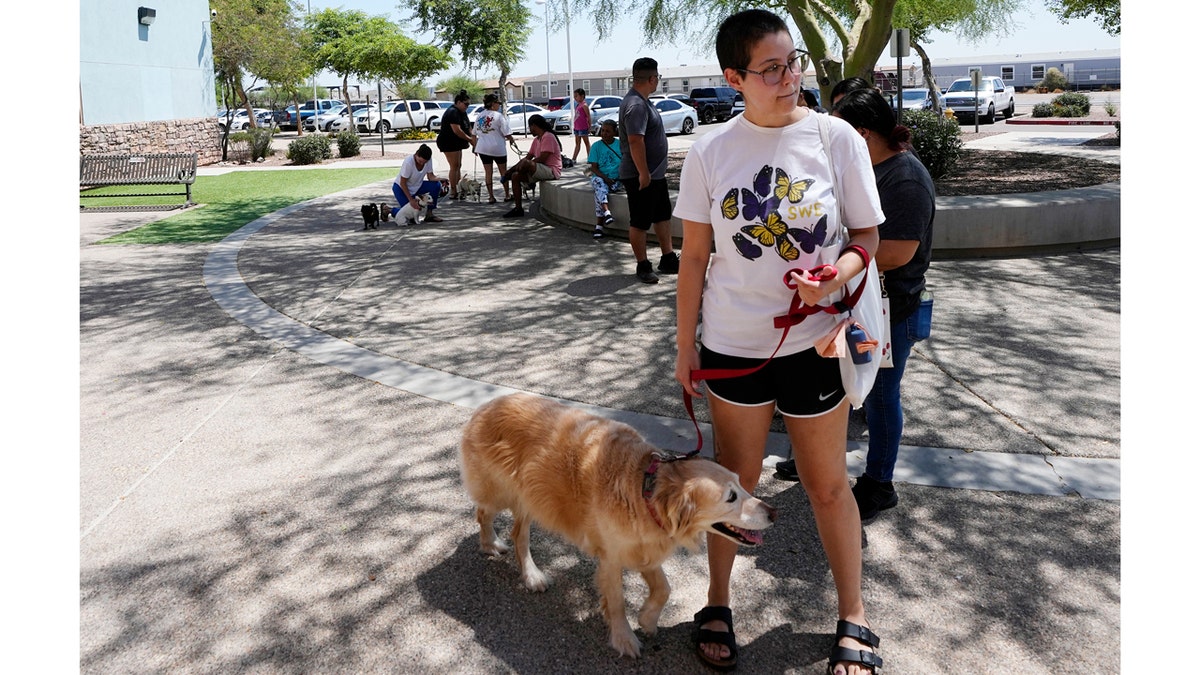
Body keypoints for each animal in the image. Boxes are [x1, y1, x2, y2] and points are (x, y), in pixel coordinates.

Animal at [458, 391, 777, 653]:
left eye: (741, 483)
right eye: (731, 497)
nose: (773, 513)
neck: (646, 488)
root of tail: (487, 405)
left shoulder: (644, 545)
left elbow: (664, 588)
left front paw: (647, 619)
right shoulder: (611, 556)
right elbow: (617, 601)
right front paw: (624, 638)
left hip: (529, 498)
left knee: (518, 533)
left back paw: (528, 572)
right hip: (499, 491)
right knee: (484, 514)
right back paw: (493, 546)